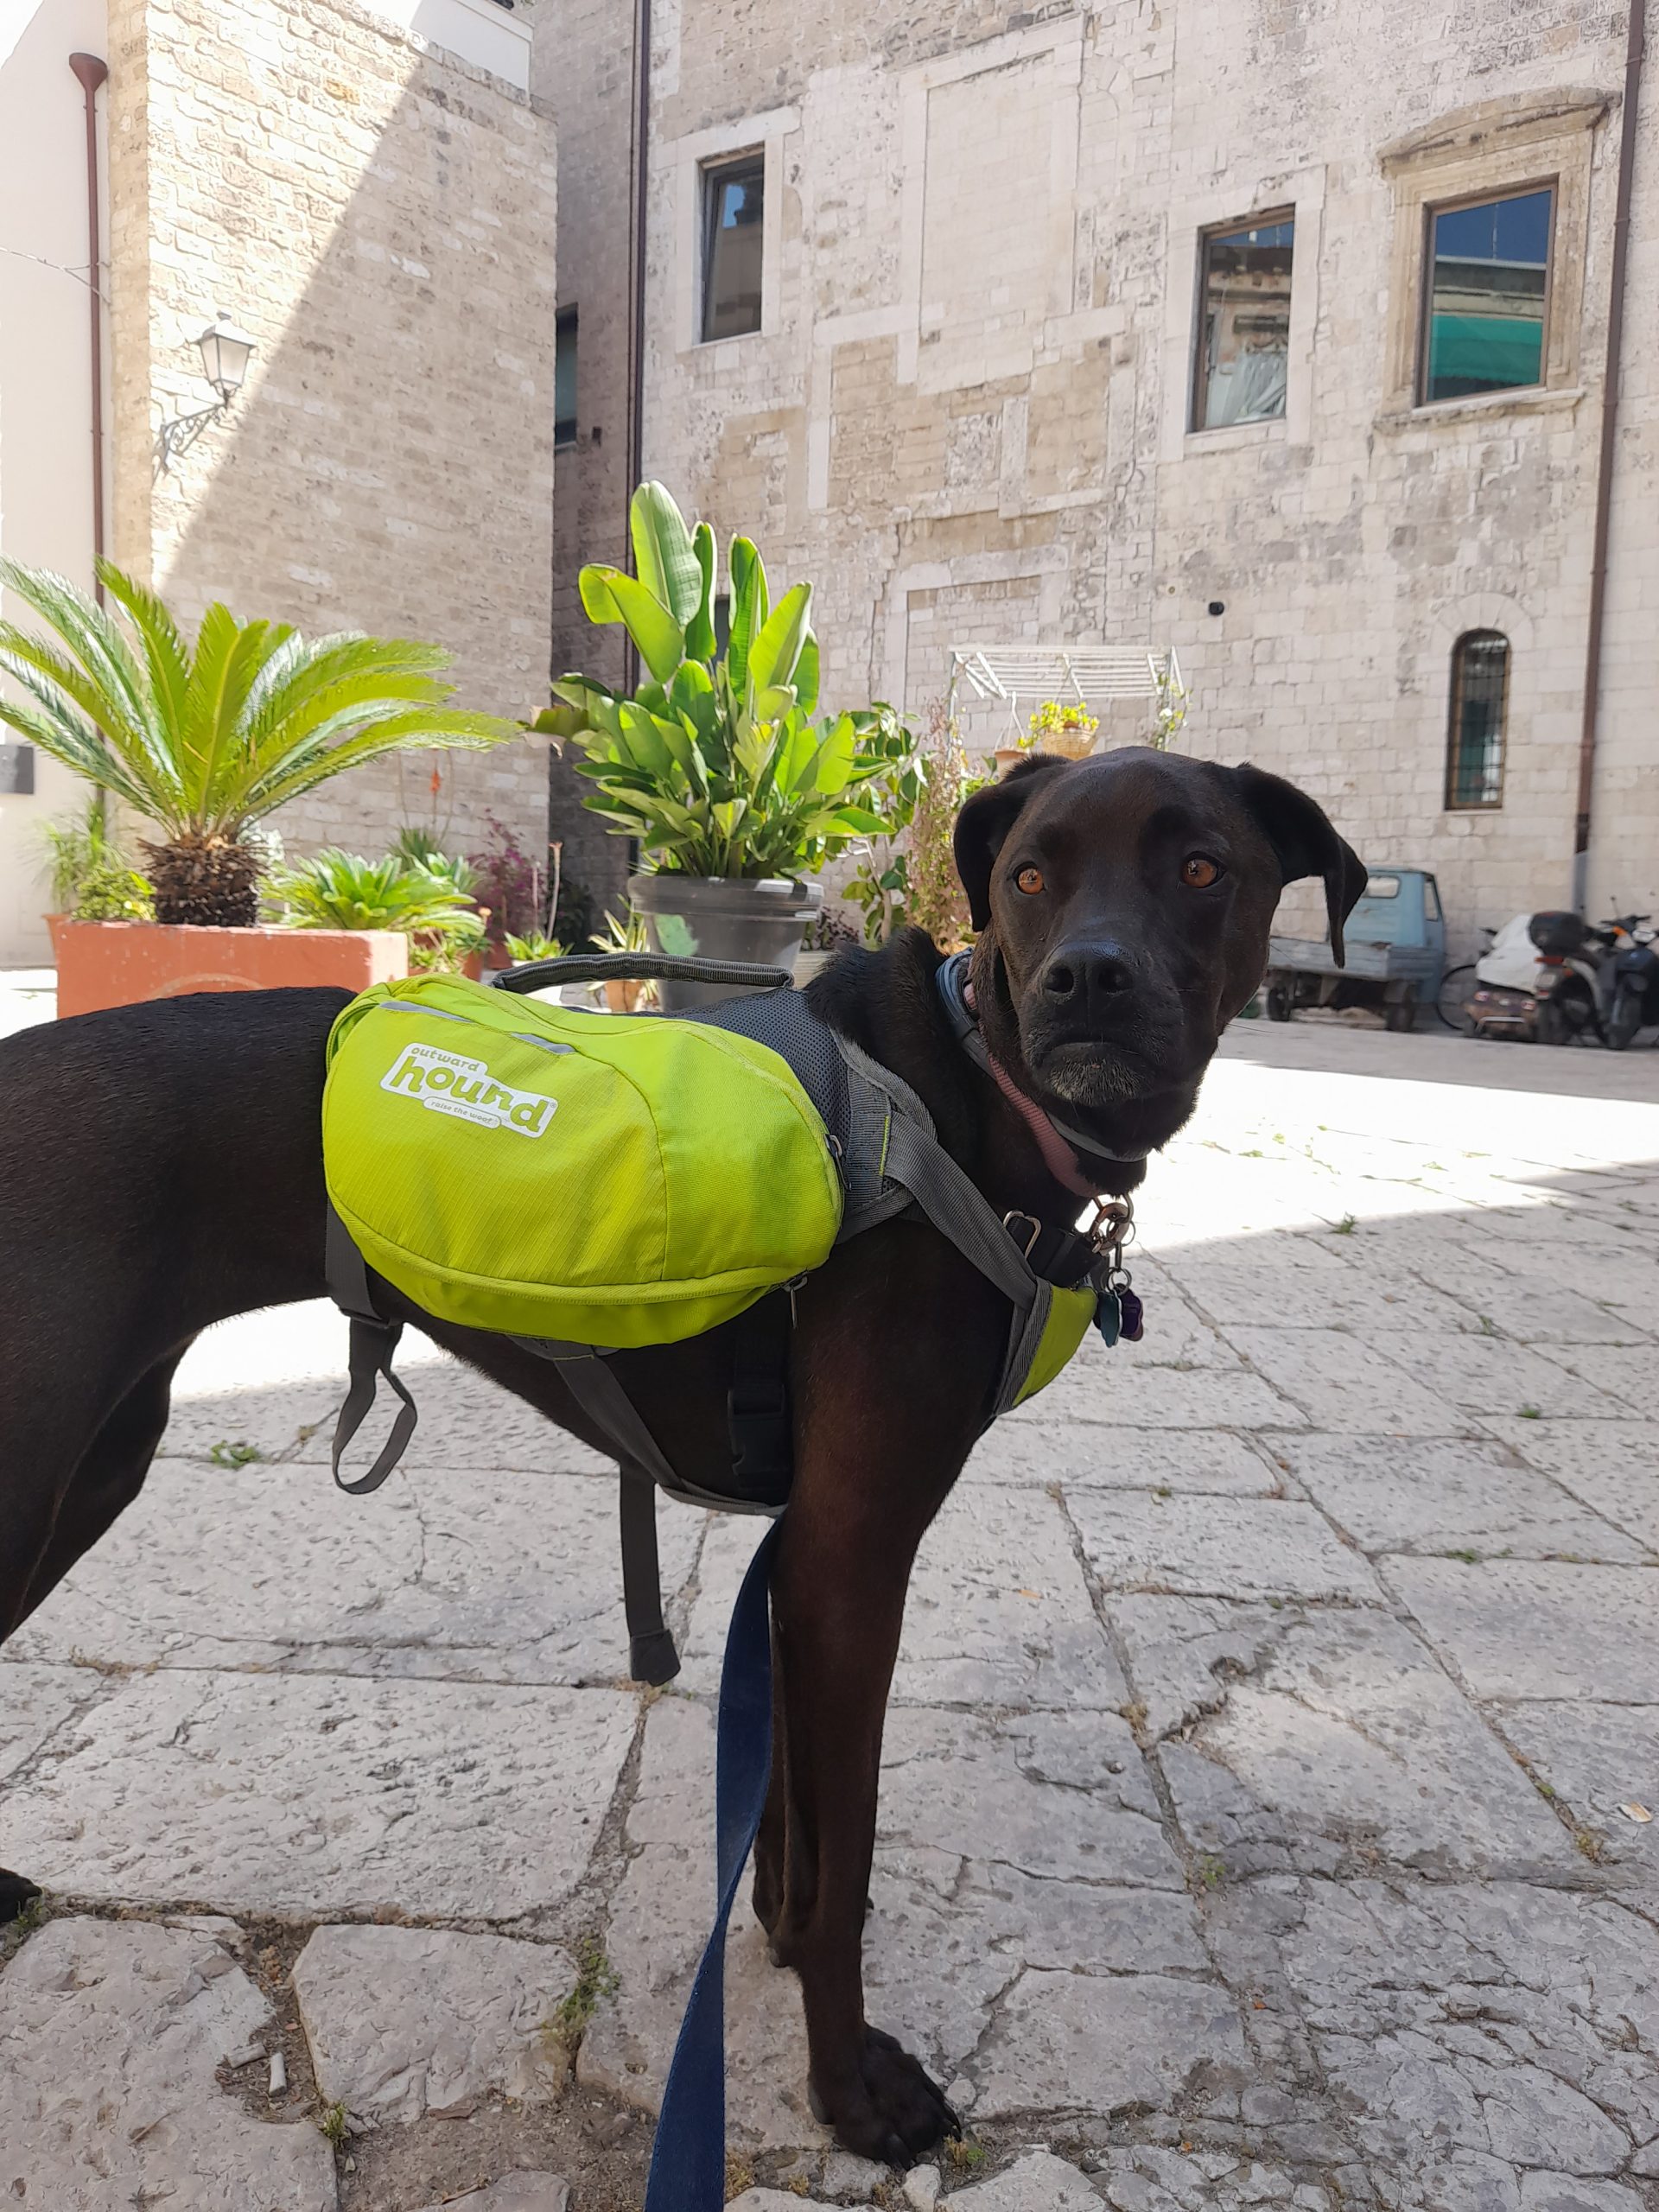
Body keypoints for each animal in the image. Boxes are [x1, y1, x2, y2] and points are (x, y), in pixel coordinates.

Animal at [0, 747, 1362, 2158]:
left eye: (1201, 867)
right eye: (1032, 876)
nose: (1086, 977)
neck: (972, 1102)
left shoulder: (803, 1564)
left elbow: (793, 1828)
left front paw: (775, 1944)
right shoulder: (852, 1559)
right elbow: (847, 1861)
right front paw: (848, 2092)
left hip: (99, 1462)